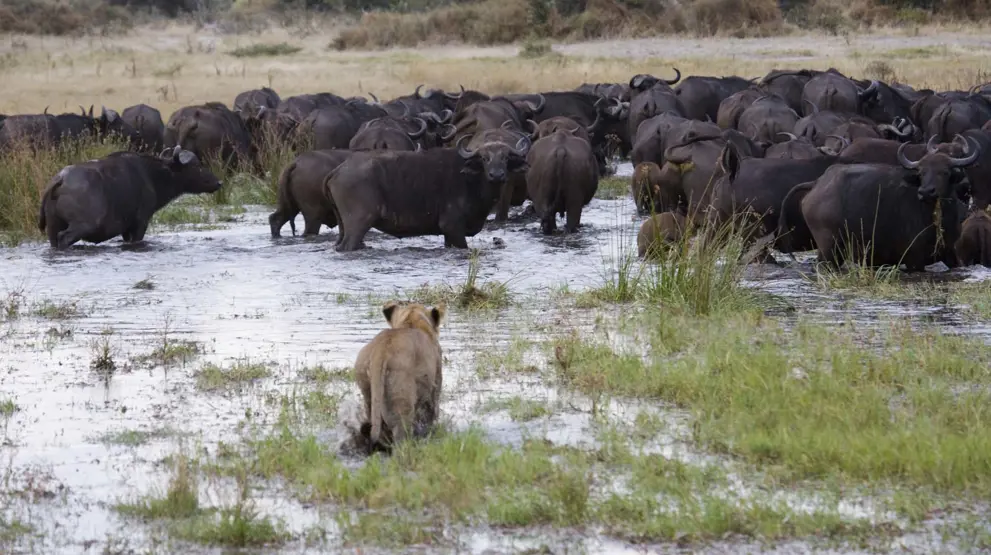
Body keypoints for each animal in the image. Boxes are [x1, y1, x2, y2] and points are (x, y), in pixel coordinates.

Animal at [328, 138, 532, 251]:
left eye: (505, 157)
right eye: (484, 158)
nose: (496, 175)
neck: (472, 181)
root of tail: (339, 170)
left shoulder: (448, 235)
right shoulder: (453, 227)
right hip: (358, 223)